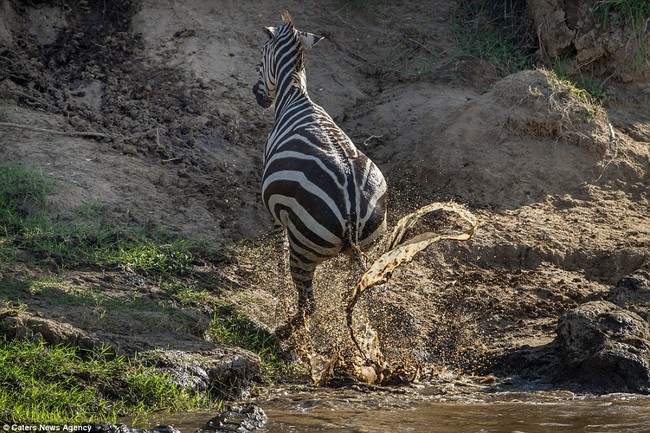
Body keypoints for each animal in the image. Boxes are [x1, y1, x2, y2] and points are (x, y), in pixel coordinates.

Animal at [252, 11, 384, 332]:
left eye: (260, 56)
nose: (257, 96)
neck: (295, 95)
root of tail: (351, 209)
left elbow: (277, 241)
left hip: (302, 246)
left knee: (309, 302)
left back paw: (286, 329)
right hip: (369, 248)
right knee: (351, 297)